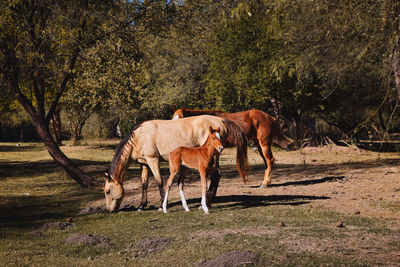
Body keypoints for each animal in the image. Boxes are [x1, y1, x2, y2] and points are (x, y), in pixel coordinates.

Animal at [103, 115, 247, 214]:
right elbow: (144, 184)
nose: (109, 210)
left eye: (108, 191)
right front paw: (141, 206)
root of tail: (222, 120)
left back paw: (206, 203)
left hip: (215, 156)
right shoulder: (144, 164)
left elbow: (159, 181)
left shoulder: (153, 160)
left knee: (216, 175)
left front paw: (162, 205)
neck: (140, 136)